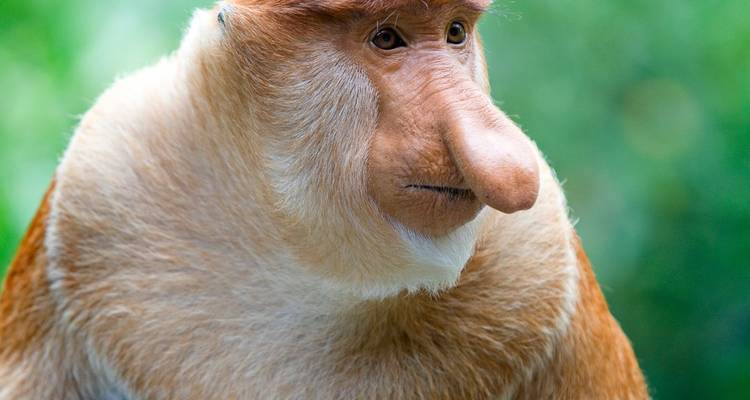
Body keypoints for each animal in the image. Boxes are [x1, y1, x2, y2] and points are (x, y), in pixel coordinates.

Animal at [0, 1, 648, 399]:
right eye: (386, 37)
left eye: (455, 32)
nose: (508, 164)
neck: (300, 257)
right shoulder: (102, 185)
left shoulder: (539, 263)